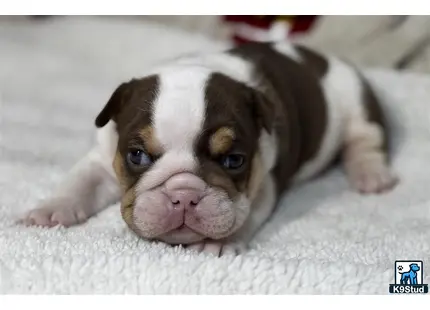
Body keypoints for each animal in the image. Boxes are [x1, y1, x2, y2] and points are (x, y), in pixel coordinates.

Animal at [21, 41, 400, 256]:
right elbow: (80, 182)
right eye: (136, 156)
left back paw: (370, 174)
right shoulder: (102, 159)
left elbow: (245, 215)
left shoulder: (263, 183)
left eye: (234, 160)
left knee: (366, 141)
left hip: (359, 106)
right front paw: (52, 209)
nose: (183, 195)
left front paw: (221, 242)